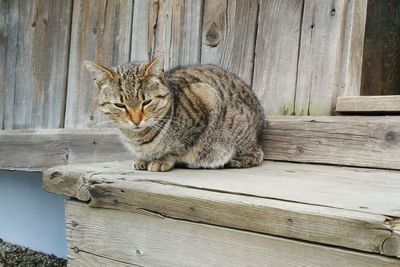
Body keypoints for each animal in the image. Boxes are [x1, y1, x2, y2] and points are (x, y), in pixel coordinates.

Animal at [86, 57, 264, 173]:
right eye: (120, 105)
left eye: (147, 102)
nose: (136, 121)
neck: (139, 138)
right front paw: (145, 159)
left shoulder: (206, 98)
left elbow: (177, 148)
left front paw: (161, 160)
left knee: (256, 155)